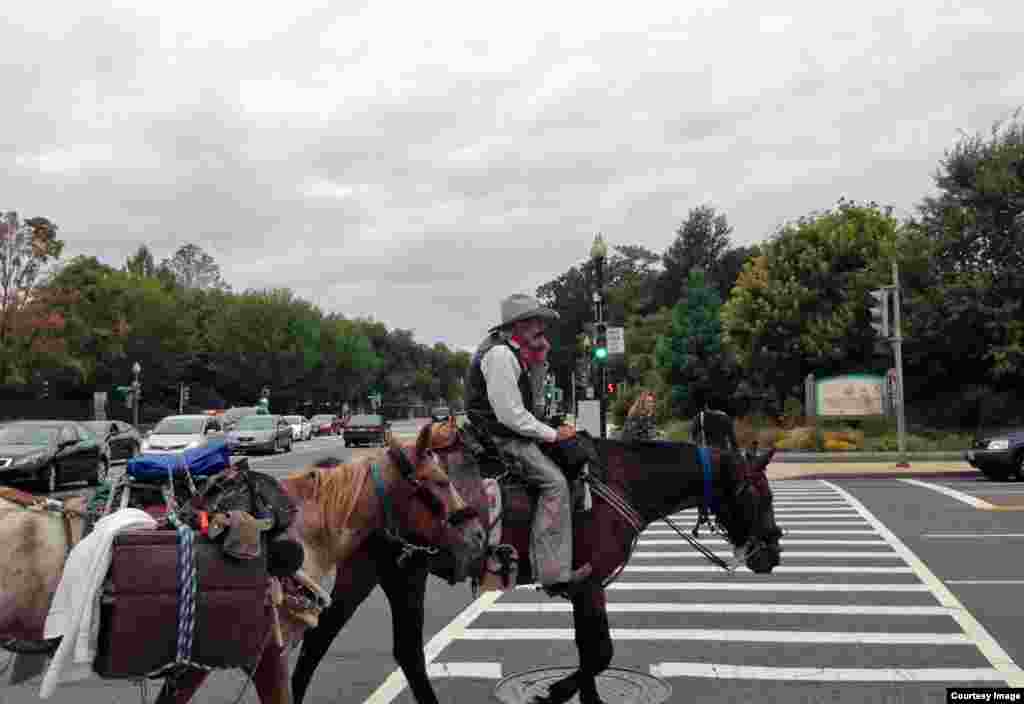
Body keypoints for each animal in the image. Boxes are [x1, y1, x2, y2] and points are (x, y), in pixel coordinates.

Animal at [292, 417, 778, 704]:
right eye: (763, 496)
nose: (772, 552)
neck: (624, 477)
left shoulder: (586, 586)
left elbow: (590, 652)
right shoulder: (587, 583)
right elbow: (599, 653)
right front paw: (555, 691)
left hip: (387, 570)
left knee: (376, 646)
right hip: (386, 570)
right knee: (342, 642)